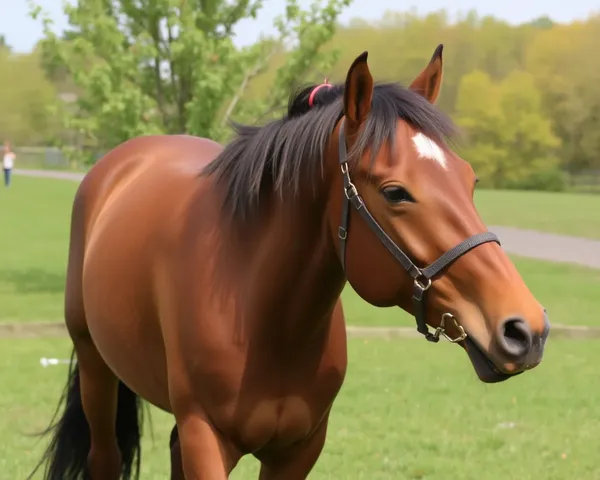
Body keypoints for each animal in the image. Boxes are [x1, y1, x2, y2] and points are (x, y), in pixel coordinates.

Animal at [30, 43, 552, 478]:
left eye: (470, 180)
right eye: (395, 192)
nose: (525, 329)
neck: (261, 316)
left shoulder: (299, 449)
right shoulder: (206, 439)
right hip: (96, 366)